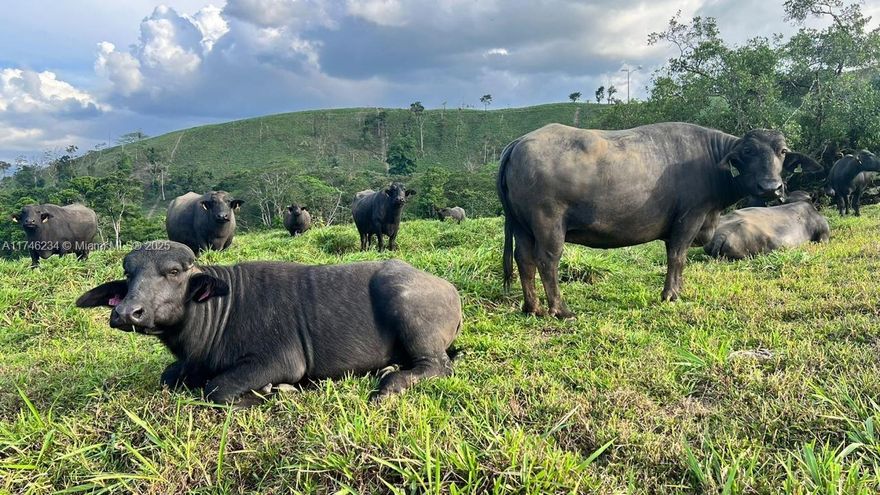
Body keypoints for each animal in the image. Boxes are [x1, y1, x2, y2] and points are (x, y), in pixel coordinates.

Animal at [75, 241, 462, 405]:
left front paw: (273, 392)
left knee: (438, 366)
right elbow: (169, 376)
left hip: (403, 305)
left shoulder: (280, 361)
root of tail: (449, 289)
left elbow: (216, 389)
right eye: (130, 274)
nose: (127, 312)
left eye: (172, 272)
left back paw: (389, 384)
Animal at [498, 122, 818, 317]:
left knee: (524, 259)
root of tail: (518, 143)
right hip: (548, 223)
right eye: (748, 151)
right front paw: (671, 294)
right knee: (547, 261)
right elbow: (677, 256)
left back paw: (532, 307)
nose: (771, 187)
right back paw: (560, 309)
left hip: (522, 226)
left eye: (782, 151)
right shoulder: (689, 218)